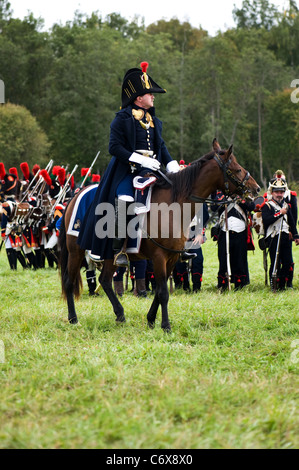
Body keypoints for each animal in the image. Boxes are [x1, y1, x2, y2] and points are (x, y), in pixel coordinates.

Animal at [58, 140, 260, 330]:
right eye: (237, 169)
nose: (256, 189)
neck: (174, 205)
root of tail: (75, 197)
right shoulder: (158, 256)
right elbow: (163, 291)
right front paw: (165, 325)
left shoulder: (171, 258)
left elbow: (160, 290)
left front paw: (150, 319)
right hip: (76, 250)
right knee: (69, 281)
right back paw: (73, 318)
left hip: (108, 255)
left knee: (105, 281)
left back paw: (120, 314)